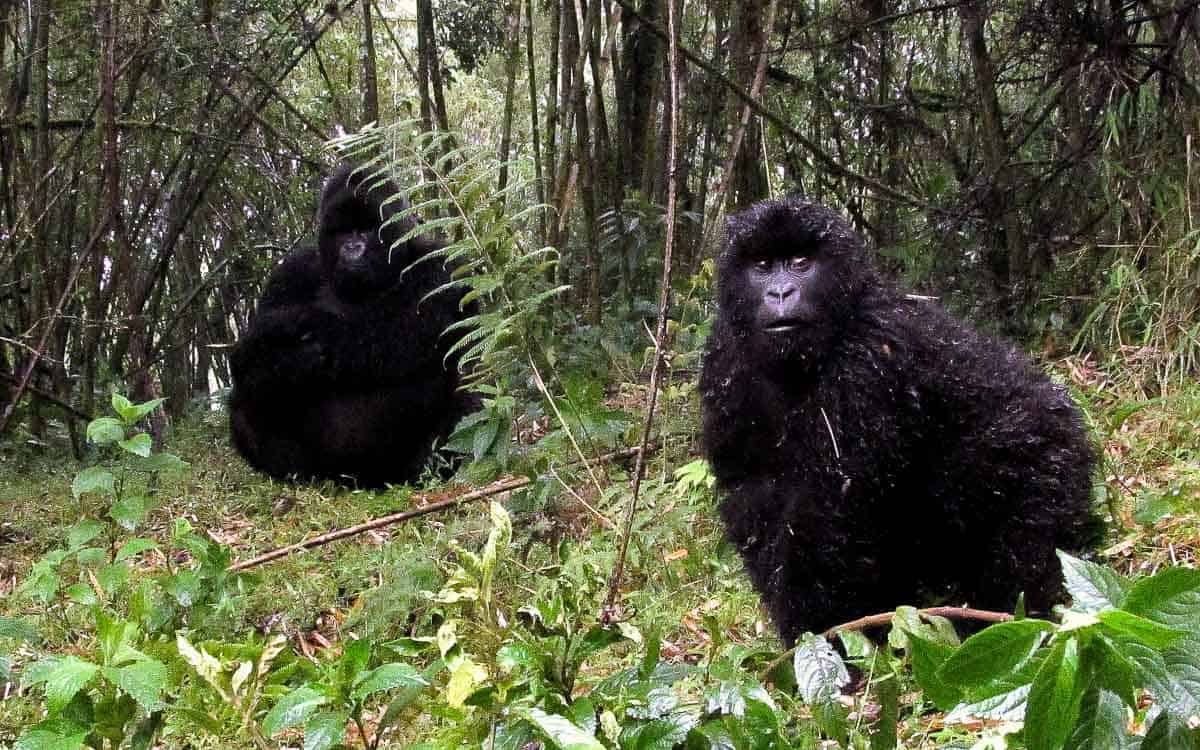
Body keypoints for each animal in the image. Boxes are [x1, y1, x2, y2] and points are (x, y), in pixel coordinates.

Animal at [226, 163, 475, 484]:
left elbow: (400, 333)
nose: (353, 248)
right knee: (246, 395)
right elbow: (250, 360)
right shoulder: (291, 271)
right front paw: (287, 354)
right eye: (342, 231)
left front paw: (294, 325)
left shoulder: (440, 265)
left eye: (367, 229)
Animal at [700, 199, 1099, 643]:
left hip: (1050, 455)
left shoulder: (867, 357)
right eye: (763, 265)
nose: (780, 292)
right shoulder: (724, 356)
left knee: (1023, 538)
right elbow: (753, 491)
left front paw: (823, 637)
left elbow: (830, 509)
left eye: (801, 263)